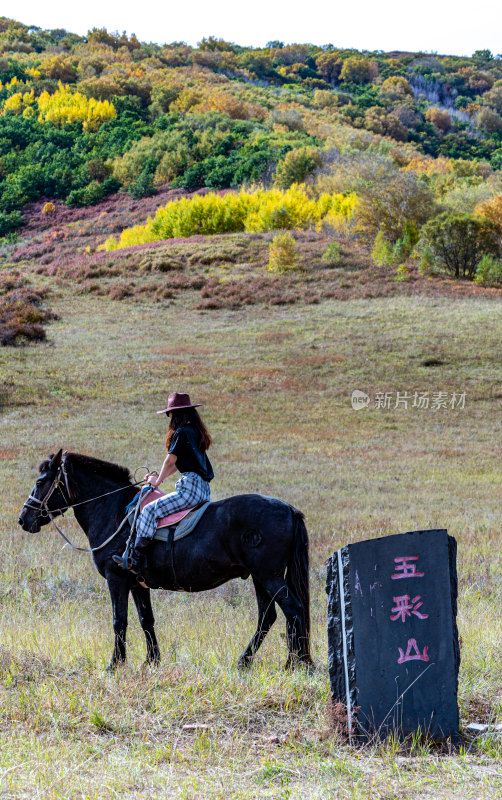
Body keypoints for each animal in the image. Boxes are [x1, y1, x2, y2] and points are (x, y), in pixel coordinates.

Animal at [19, 450, 312, 668]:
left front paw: (115, 664)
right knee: (268, 617)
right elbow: (146, 620)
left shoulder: (116, 580)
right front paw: (151, 661)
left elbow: (119, 621)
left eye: (40, 482)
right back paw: (247, 661)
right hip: (260, 578)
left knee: (292, 610)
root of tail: (289, 509)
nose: (23, 519)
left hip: (268, 576)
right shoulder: (137, 584)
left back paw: (295, 664)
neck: (114, 510)